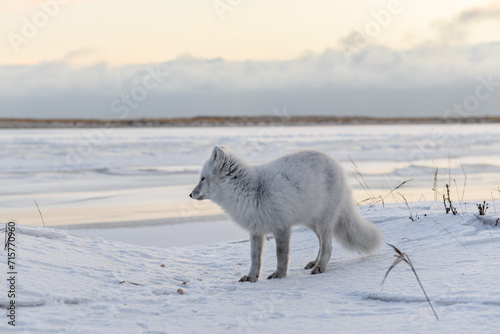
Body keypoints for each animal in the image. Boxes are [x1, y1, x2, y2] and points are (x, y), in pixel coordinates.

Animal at [190, 146, 382, 282]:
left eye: (202, 178)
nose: (190, 195)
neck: (250, 190)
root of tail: (337, 164)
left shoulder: (281, 227)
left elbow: (281, 255)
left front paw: (280, 274)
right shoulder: (256, 231)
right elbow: (255, 258)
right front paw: (251, 277)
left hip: (323, 222)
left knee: (328, 246)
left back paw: (320, 267)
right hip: (312, 223)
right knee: (321, 243)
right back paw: (315, 262)